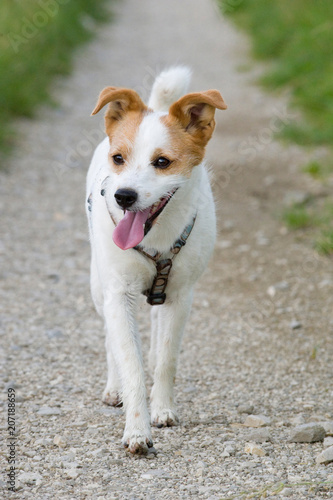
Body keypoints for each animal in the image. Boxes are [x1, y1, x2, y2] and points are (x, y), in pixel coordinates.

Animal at [85, 66, 226, 454]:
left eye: (162, 162)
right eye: (119, 158)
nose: (123, 196)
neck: (156, 238)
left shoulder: (180, 295)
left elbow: (166, 358)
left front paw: (162, 409)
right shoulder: (118, 293)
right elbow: (129, 361)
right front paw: (137, 429)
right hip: (98, 286)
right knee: (110, 339)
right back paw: (113, 386)